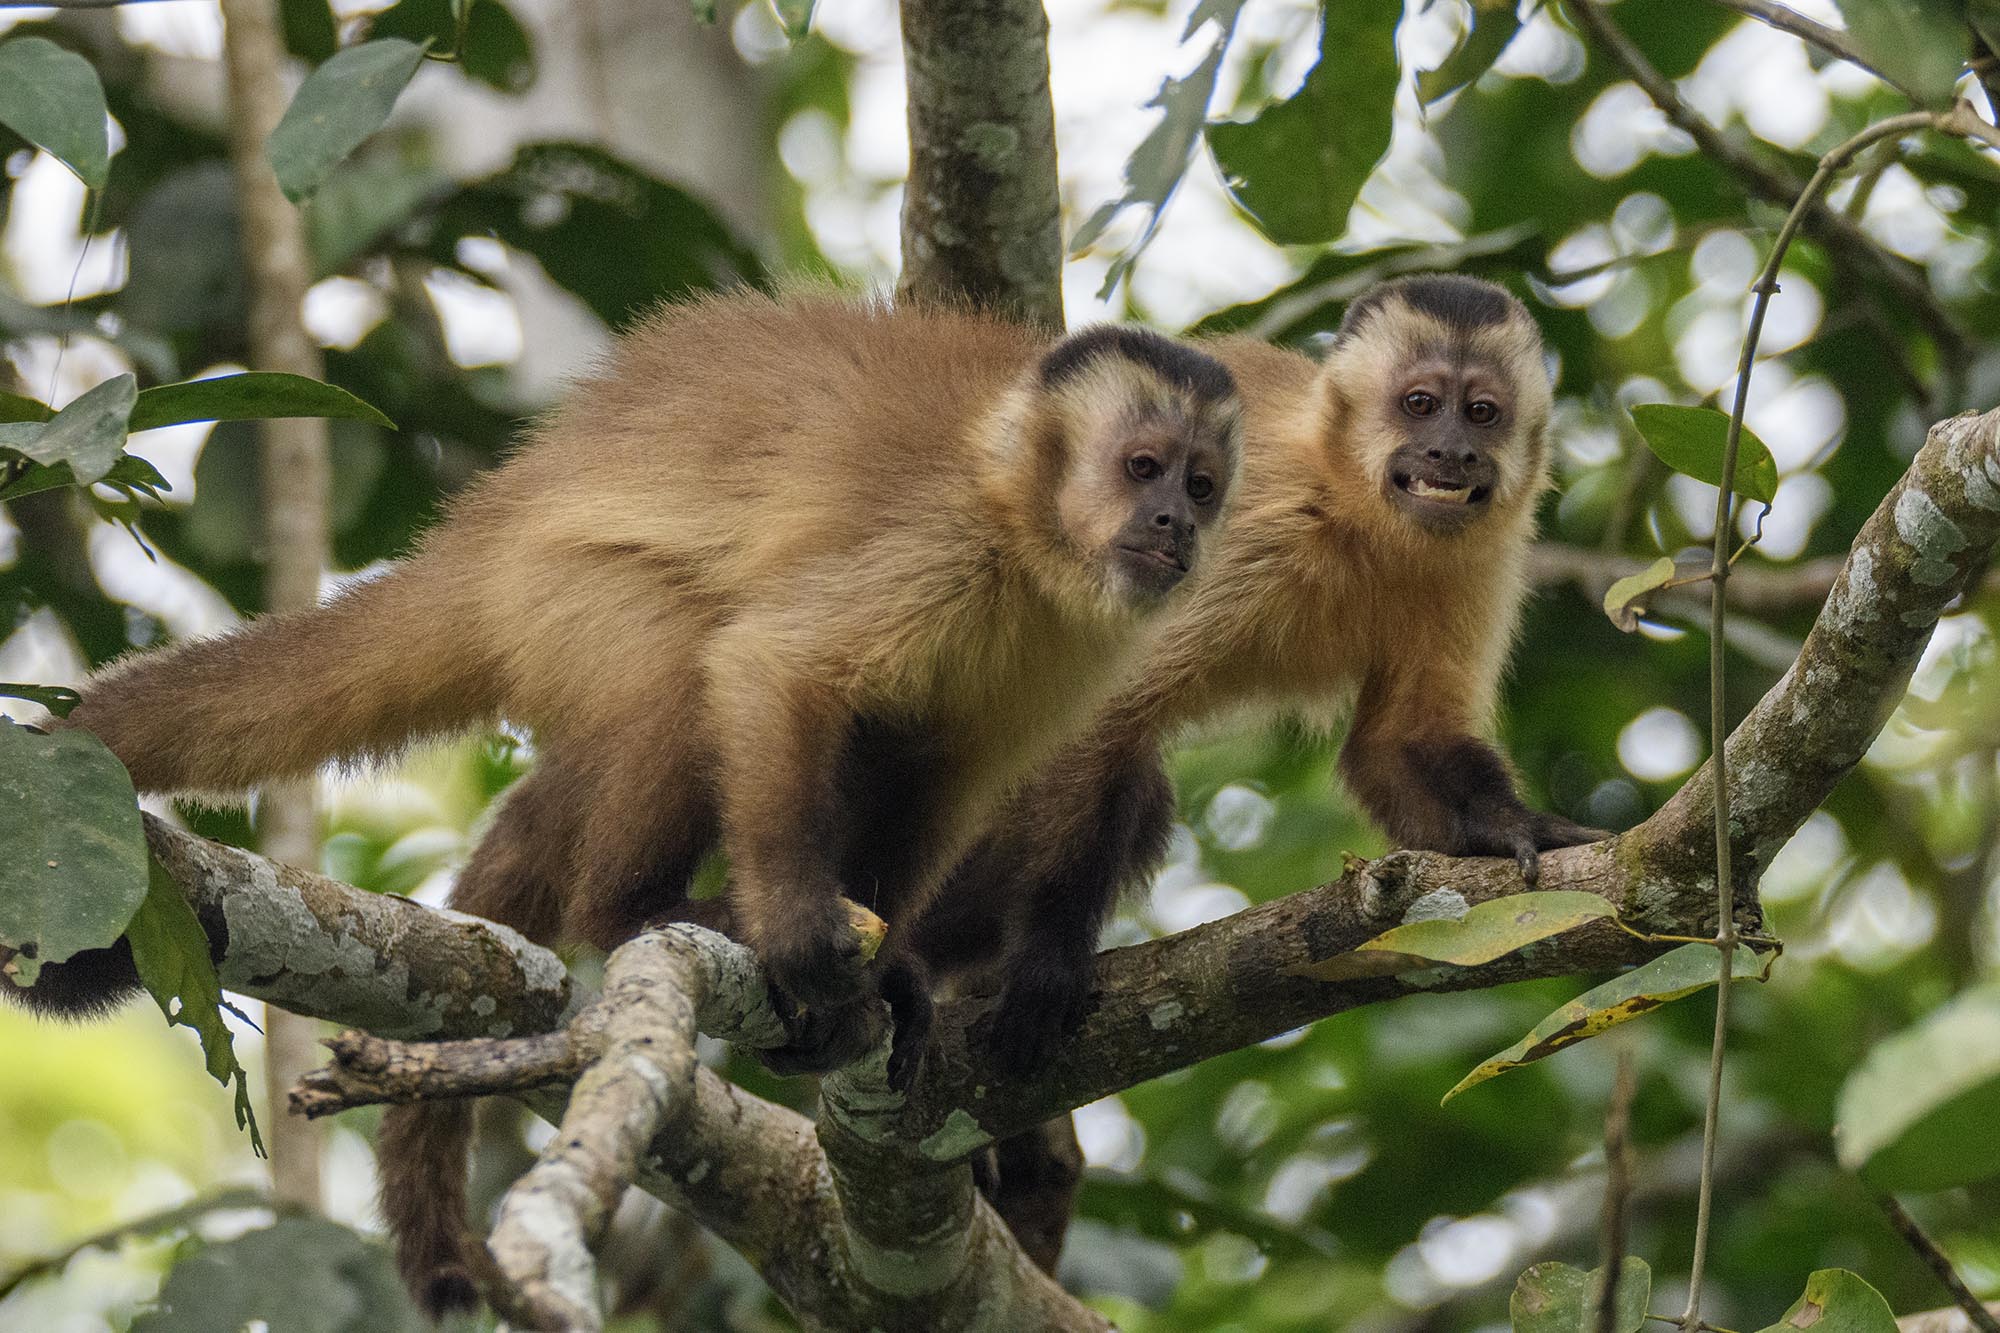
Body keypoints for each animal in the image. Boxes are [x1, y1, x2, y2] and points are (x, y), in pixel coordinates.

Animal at [19, 290, 1232, 1304]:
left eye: (1200, 485)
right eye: (1141, 467)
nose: (1177, 526)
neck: (1026, 532)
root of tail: (480, 535)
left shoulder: (1077, 650)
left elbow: (948, 776)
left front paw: (898, 976)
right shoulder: (939, 539)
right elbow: (771, 667)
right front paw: (803, 938)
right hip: (564, 594)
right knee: (680, 658)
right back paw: (635, 912)